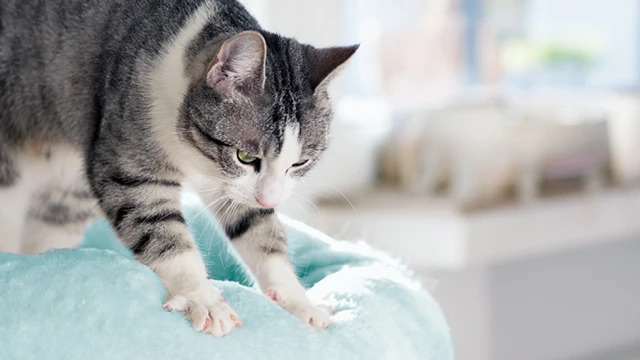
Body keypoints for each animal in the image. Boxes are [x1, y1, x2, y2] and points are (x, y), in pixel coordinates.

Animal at [0, 0, 358, 338]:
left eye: (299, 163)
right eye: (245, 156)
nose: (270, 199)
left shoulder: (232, 185)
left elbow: (259, 229)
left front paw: (299, 302)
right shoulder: (127, 160)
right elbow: (159, 228)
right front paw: (203, 298)